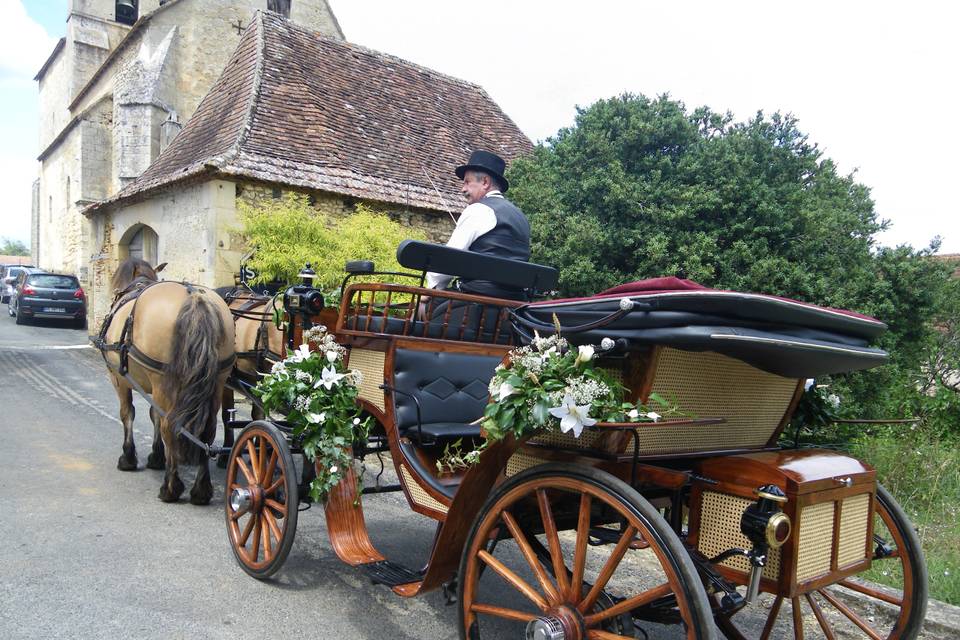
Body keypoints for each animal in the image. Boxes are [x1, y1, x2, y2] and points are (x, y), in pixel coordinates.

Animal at [96, 258, 235, 502]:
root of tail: (194, 297)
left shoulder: (119, 378)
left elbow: (128, 413)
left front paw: (128, 458)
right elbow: (154, 415)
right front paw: (156, 456)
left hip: (162, 381)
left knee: (170, 426)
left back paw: (170, 487)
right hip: (217, 381)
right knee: (207, 431)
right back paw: (201, 490)